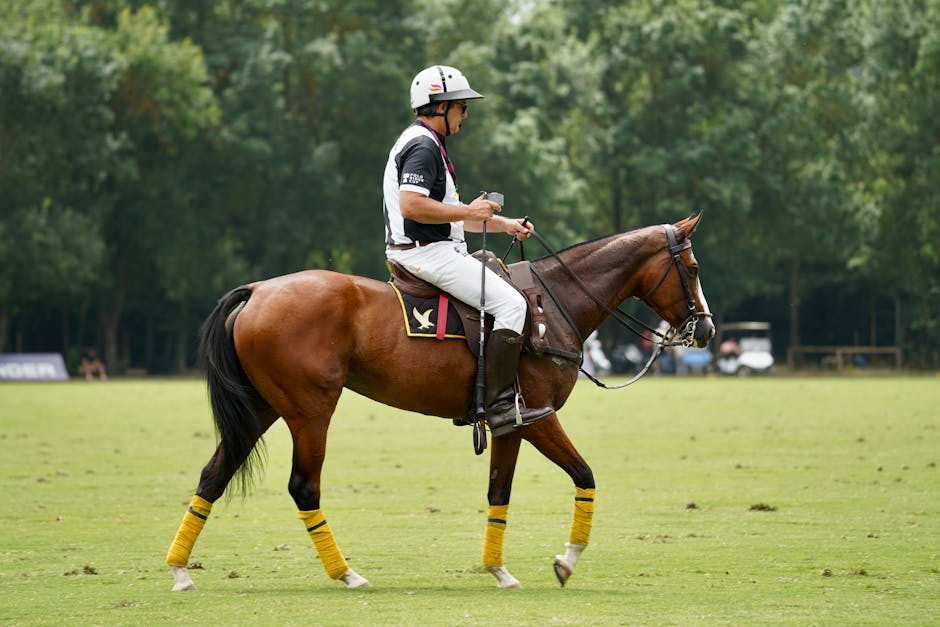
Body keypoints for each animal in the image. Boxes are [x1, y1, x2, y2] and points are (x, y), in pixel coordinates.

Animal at [166, 213, 714, 591]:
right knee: (304, 486)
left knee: (213, 475)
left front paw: (499, 571)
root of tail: (257, 290)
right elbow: (585, 475)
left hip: (262, 408)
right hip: (310, 409)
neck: (555, 305)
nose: (706, 330)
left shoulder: (510, 420)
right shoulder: (537, 415)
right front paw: (565, 561)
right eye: (691, 266)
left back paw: (180, 572)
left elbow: (499, 491)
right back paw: (347, 575)